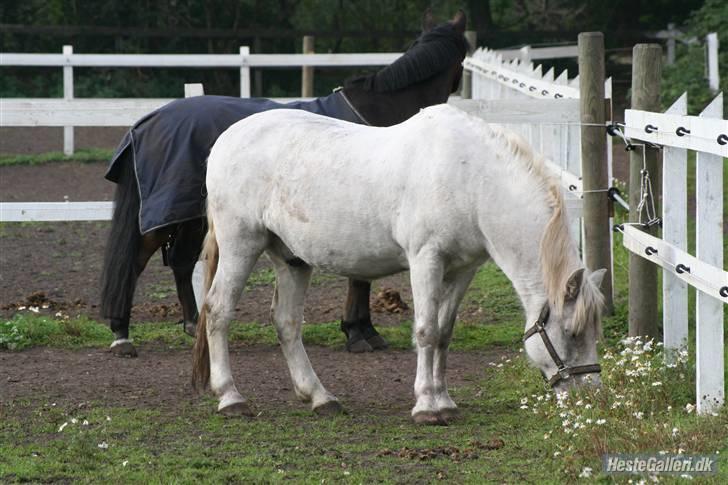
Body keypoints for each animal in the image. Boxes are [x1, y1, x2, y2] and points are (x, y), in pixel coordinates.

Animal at [99, 10, 470, 356]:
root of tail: (147, 122)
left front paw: (360, 328)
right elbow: (359, 279)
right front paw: (359, 332)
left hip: (190, 215)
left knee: (179, 260)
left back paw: (191, 324)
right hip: (168, 216)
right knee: (134, 262)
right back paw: (122, 333)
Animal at [191, 103, 604, 424]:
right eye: (571, 333)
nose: (590, 397)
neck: (470, 179)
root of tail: (225, 140)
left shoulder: (462, 270)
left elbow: (444, 332)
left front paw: (444, 401)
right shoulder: (426, 259)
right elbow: (426, 331)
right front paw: (427, 406)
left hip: (291, 259)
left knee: (287, 322)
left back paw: (320, 397)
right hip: (241, 243)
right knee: (218, 310)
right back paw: (231, 398)